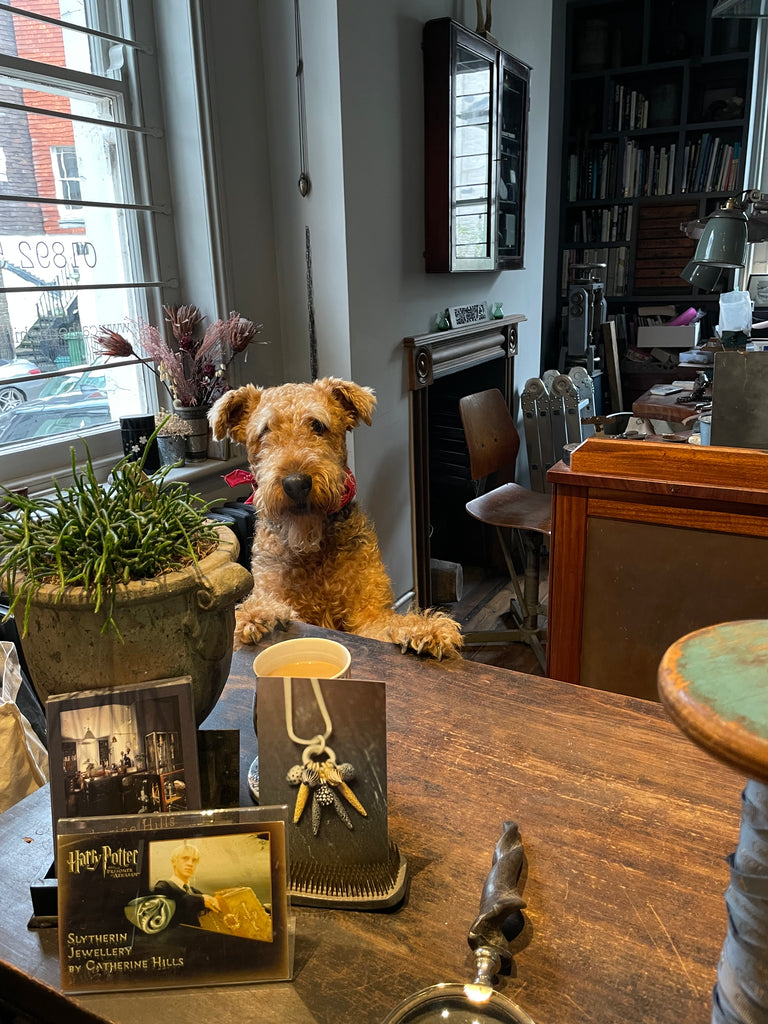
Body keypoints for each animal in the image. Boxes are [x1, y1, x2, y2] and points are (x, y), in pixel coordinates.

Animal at [207, 376, 462, 655]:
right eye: (264, 430)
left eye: (317, 425)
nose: (296, 483)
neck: (311, 551)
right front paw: (255, 616)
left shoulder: (369, 613)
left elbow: (382, 626)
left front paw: (424, 630)